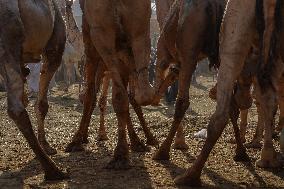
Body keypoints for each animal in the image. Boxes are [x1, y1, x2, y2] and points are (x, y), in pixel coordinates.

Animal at [0, 0, 67, 180]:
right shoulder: (54, 47)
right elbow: (42, 104)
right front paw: (46, 145)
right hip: (9, 39)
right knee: (16, 109)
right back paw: (53, 170)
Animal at [65, 0, 155, 168]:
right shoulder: (102, 33)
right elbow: (118, 97)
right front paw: (122, 153)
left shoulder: (139, 25)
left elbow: (132, 97)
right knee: (97, 95)